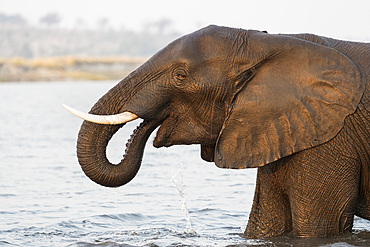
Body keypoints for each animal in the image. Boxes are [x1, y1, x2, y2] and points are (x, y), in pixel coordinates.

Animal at [64, 24, 370, 237]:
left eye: (180, 76)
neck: (269, 42)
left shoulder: (331, 137)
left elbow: (319, 226)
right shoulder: (282, 126)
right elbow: (264, 224)